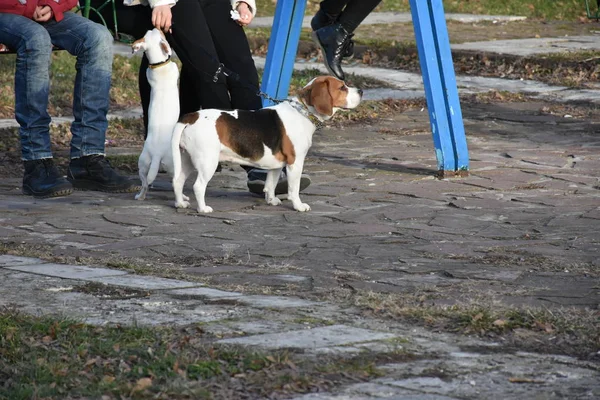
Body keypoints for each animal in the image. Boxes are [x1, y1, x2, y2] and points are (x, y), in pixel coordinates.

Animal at [171, 75, 364, 212]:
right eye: (342, 87)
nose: (361, 91)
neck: (302, 111)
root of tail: (191, 117)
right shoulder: (295, 163)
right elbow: (294, 188)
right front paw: (299, 206)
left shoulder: (276, 165)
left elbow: (271, 184)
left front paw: (272, 200)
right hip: (207, 162)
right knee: (198, 186)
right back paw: (203, 209)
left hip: (187, 160)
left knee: (178, 181)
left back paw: (180, 203)